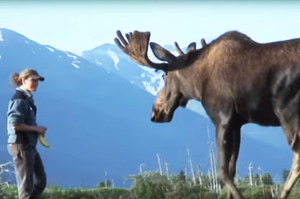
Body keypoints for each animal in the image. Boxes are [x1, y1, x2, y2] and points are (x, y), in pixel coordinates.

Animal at [115, 29, 300, 199]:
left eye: (164, 76)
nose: (156, 113)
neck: (197, 84)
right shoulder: (237, 124)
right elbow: (232, 170)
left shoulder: (222, 119)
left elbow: (222, 171)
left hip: (288, 114)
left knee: (296, 158)